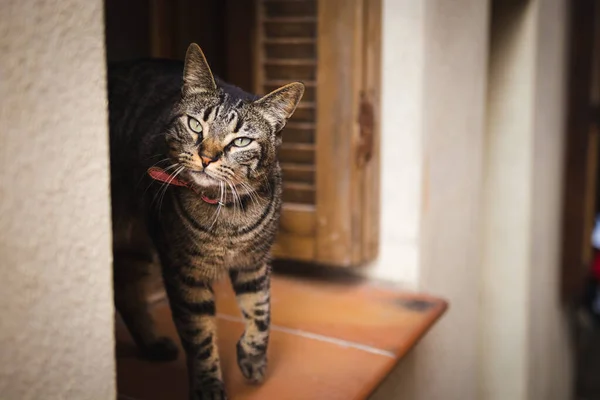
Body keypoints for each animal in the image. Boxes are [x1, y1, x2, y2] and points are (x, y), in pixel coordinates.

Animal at [108, 43, 302, 400]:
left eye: (241, 141)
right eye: (196, 125)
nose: (207, 157)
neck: (229, 217)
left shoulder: (255, 263)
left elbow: (261, 311)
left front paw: (253, 358)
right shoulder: (185, 275)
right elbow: (200, 339)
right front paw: (208, 384)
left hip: (136, 243)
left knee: (125, 290)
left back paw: (152, 345)